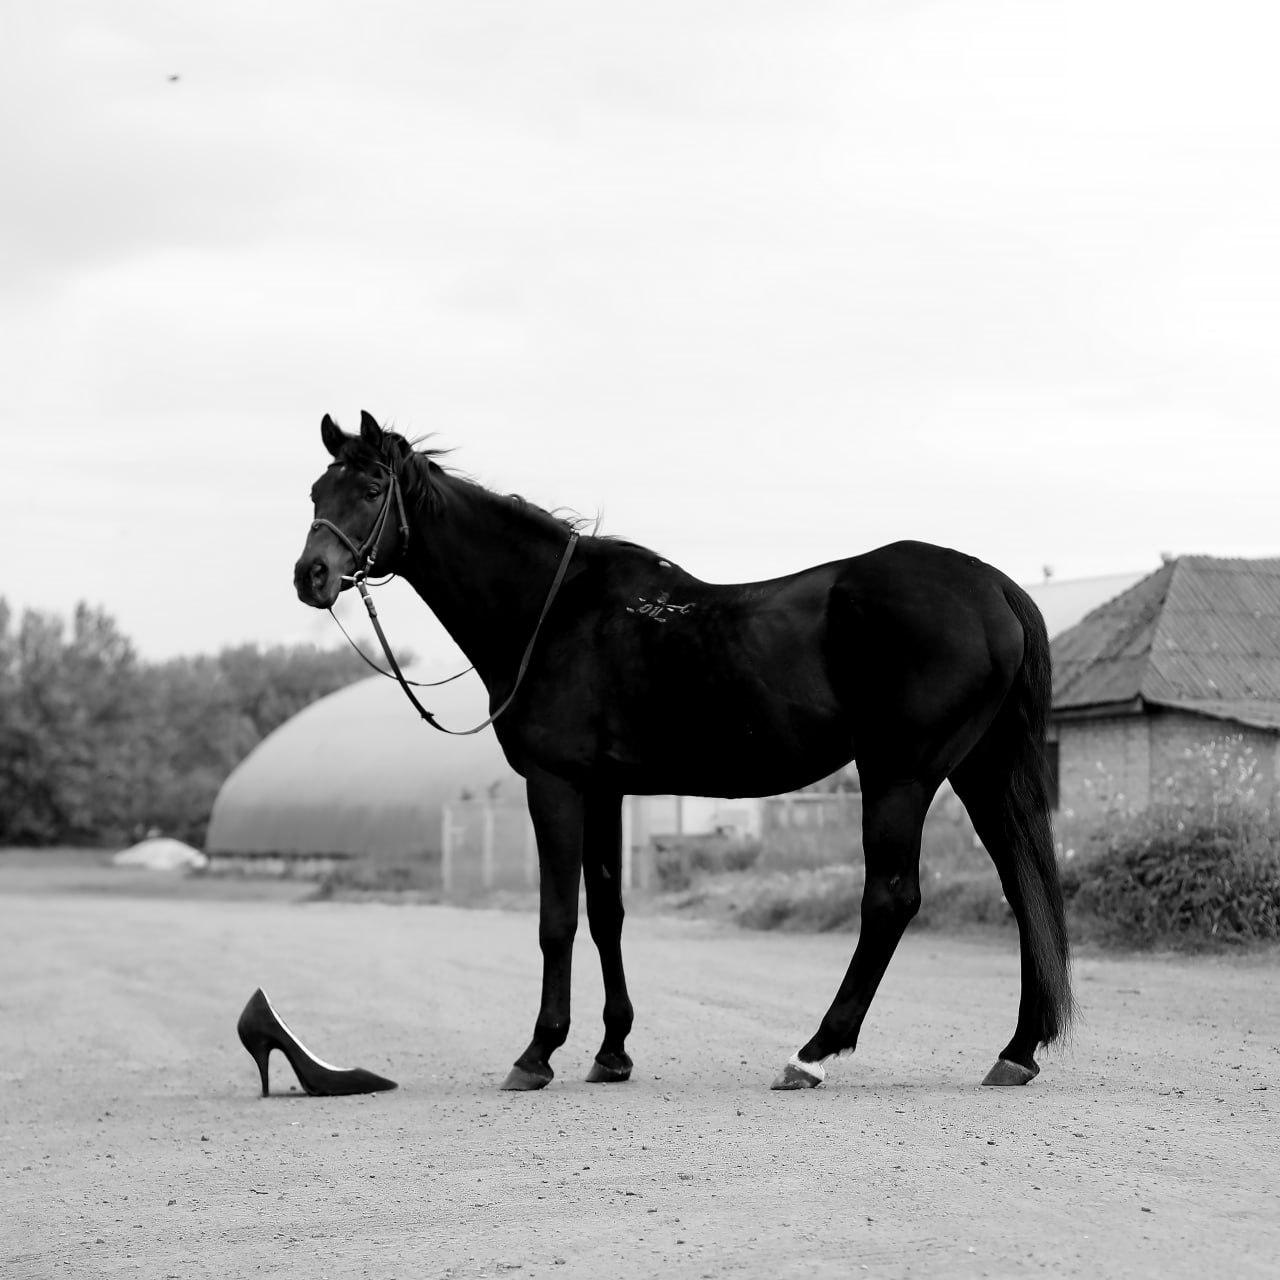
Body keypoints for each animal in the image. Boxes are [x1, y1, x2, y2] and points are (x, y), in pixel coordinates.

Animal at [294, 409, 1075, 1090]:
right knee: (1022, 887)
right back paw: (1016, 1050)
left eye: (371, 489)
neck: (555, 613)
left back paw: (812, 1053)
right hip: (979, 771)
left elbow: (557, 919)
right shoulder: (603, 791)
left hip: (901, 774)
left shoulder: (554, 784)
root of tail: (994, 588)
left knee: (891, 899)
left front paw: (538, 1052)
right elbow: (607, 914)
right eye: (315, 492)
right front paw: (611, 1051)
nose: (311, 576)